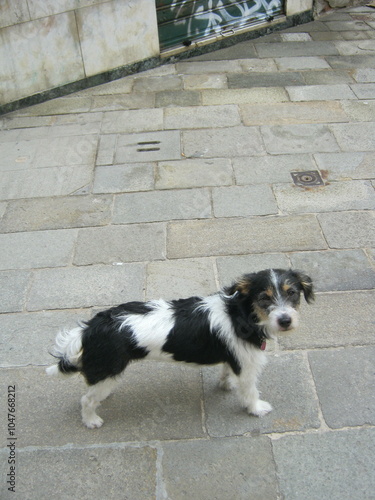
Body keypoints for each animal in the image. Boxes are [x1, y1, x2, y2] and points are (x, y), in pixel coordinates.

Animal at [46, 268, 314, 428]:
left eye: (292, 293)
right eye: (264, 298)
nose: (285, 320)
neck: (240, 313)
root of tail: (89, 328)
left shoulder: (235, 356)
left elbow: (227, 371)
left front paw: (226, 384)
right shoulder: (248, 365)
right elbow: (250, 391)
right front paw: (256, 409)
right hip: (107, 369)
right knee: (86, 400)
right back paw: (91, 420)